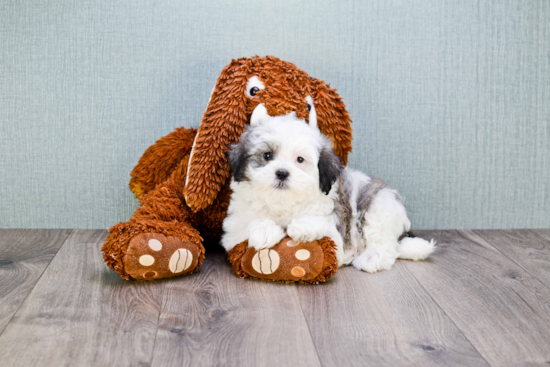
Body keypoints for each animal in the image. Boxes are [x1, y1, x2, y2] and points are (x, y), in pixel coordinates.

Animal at [221, 115, 436, 274]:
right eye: (267, 155)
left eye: (300, 159)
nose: (282, 172)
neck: (282, 203)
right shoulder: (233, 232)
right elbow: (247, 224)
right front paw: (265, 230)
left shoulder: (336, 233)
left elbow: (321, 225)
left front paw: (301, 226)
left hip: (380, 205)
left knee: (385, 244)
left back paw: (370, 258)